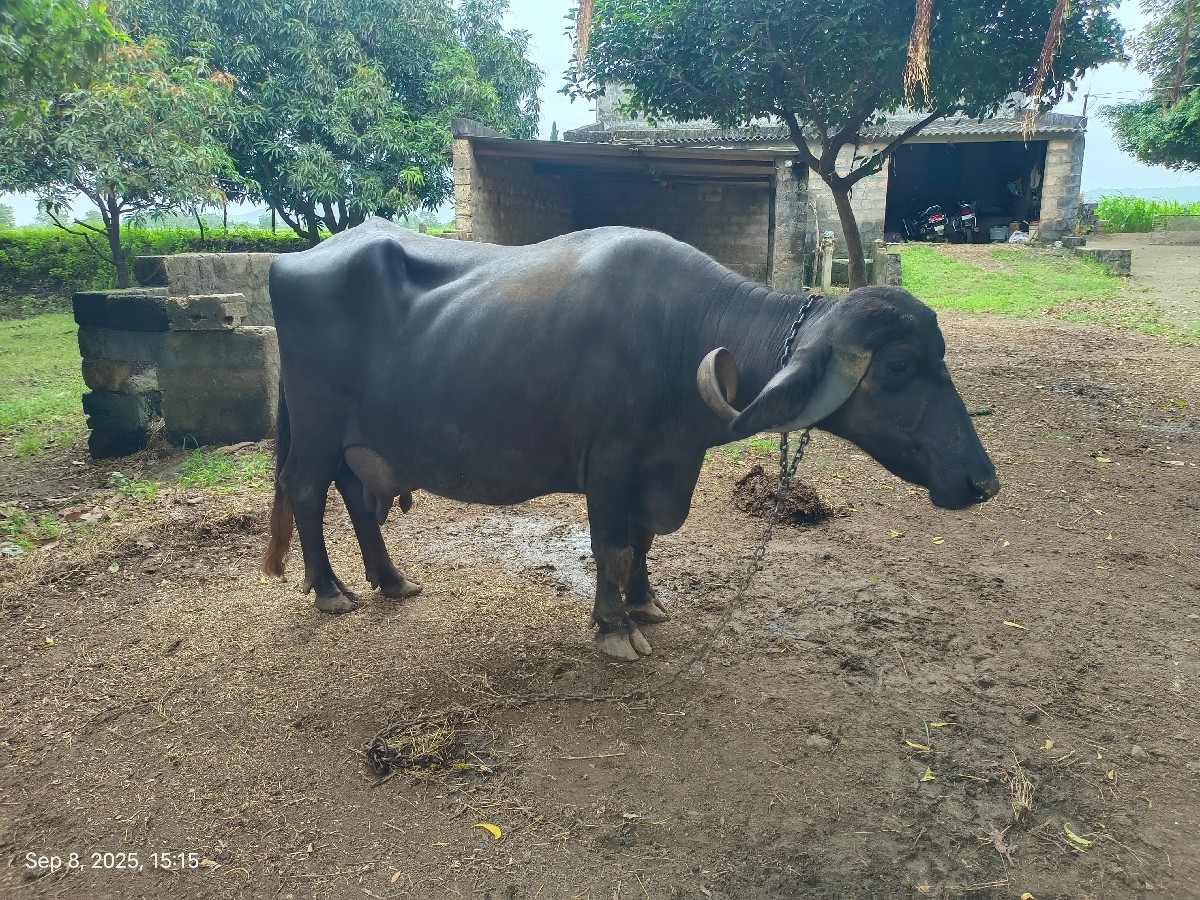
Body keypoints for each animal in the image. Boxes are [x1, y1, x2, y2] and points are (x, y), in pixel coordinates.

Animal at [262, 219, 999, 661]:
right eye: (900, 364)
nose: (982, 480)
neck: (680, 336)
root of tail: (289, 263)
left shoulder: (662, 465)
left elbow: (642, 542)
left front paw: (645, 604)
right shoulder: (611, 468)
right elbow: (611, 546)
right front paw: (614, 627)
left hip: (355, 438)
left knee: (354, 494)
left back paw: (391, 581)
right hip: (319, 425)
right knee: (306, 489)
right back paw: (329, 590)